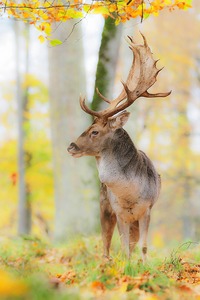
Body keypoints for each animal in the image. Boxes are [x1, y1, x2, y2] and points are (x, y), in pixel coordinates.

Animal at [67, 34, 170, 262]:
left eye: (95, 131)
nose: (71, 146)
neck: (130, 193)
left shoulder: (147, 209)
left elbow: (143, 247)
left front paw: (143, 266)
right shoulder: (118, 211)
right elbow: (122, 247)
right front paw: (127, 267)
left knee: (131, 242)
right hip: (104, 207)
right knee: (105, 244)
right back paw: (106, 263)